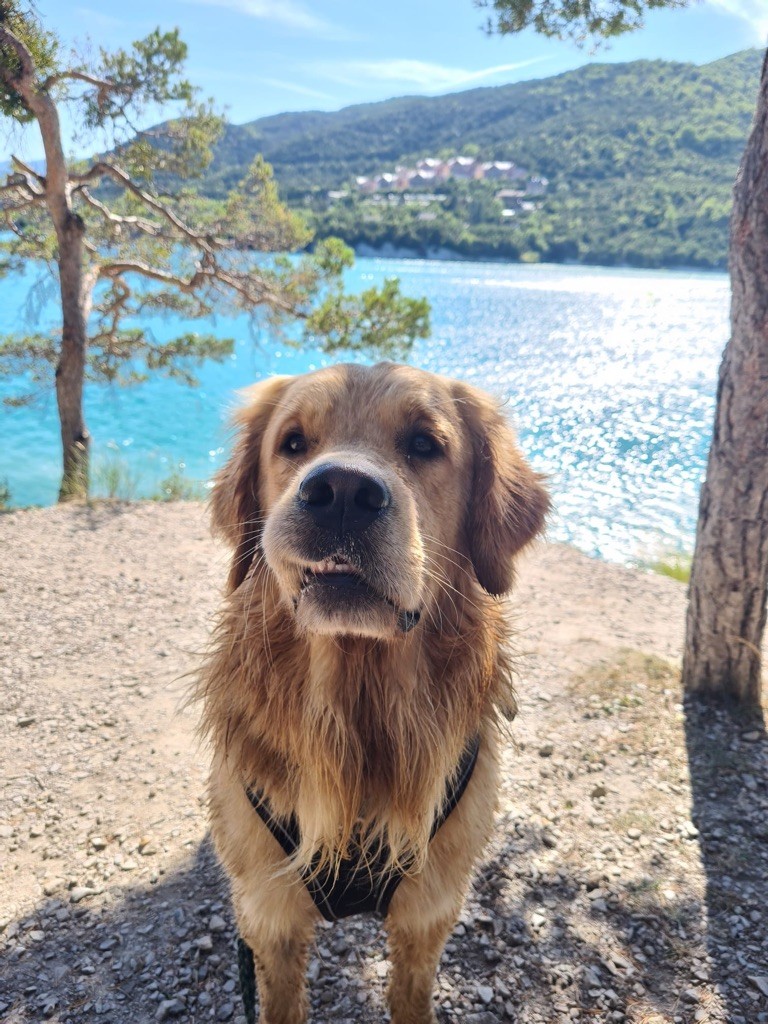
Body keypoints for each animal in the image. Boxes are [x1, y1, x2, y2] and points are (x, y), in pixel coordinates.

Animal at [196, 364, 548, 1019]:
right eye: (293, 442)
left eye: (424, 445)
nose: (340, 491)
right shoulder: (269, 917)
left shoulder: (429, 912)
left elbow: (411, 997)